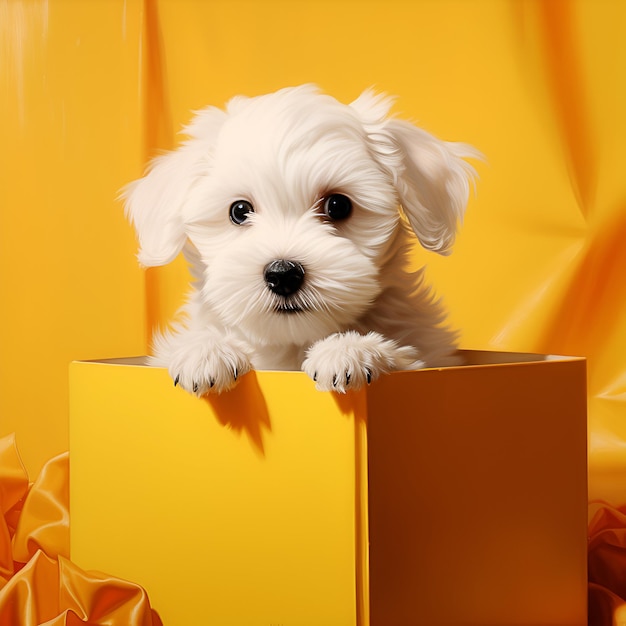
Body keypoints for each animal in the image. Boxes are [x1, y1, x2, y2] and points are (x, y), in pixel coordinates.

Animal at [124, 85, 480, 392]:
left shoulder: (430, 353)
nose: (283, 274)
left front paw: (349, 350)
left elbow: (407, 355)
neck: (291, 345)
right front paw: (205, 351)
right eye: (239, 211)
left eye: (338, 205)